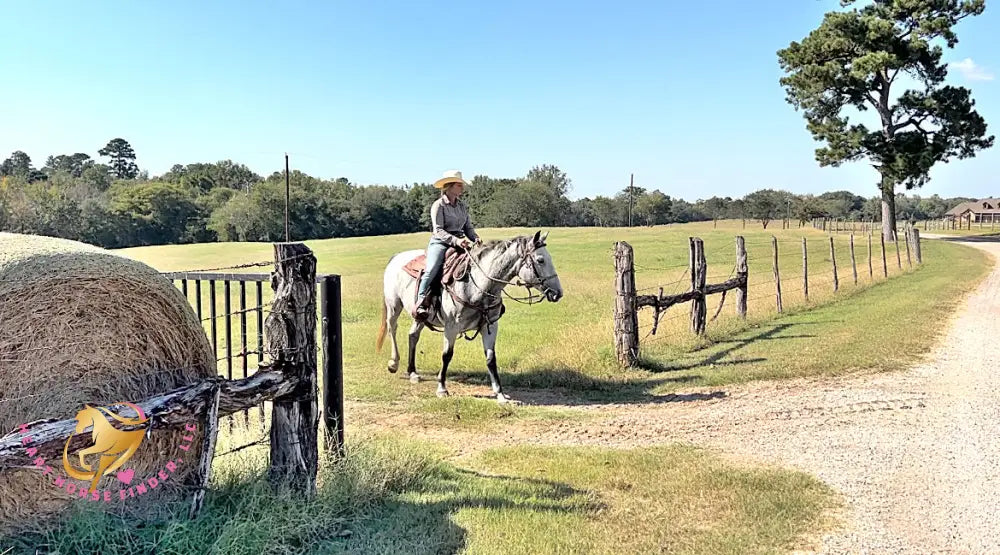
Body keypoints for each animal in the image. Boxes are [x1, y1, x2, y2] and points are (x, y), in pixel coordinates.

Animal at [376, 230, 564, 404]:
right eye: (541, 260)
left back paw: (413, 372)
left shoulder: (490, 327)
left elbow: (491, 359)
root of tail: (396, 257)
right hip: (394, 305)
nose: (558, 293)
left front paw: (500, 394)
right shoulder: (451, 327)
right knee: (392, 329)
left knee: (413, 335)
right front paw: (442, 388)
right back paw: (393, 363)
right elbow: (447, 355)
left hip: (420, 316)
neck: (478, 286)